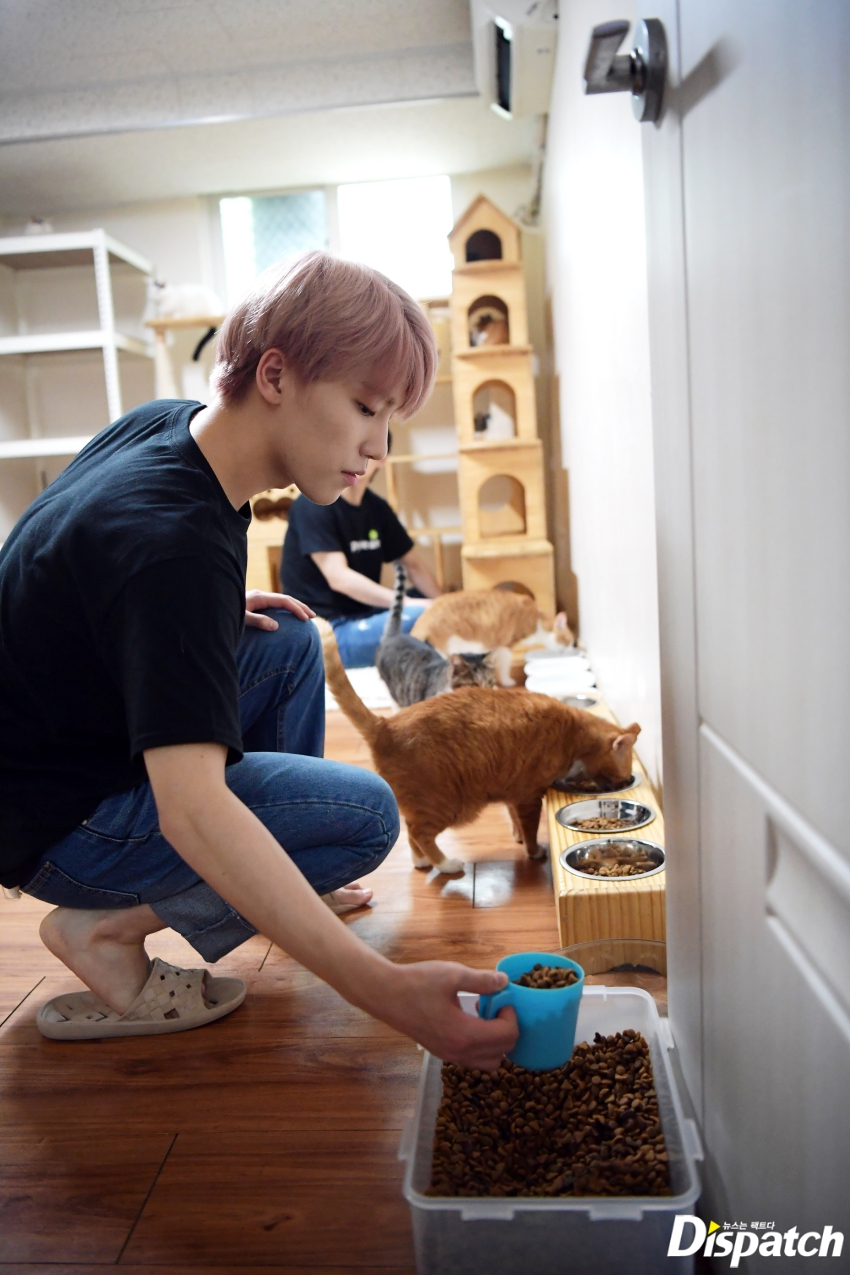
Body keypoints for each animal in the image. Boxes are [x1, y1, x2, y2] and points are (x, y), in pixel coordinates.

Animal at [318, 619, 640, 874]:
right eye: (623, 772)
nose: (624, 782)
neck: (573, 733)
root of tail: (385, 724)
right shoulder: (529, 796)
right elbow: (530, 828)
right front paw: (534, 851)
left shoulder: (513, 791)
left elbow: (515, 820)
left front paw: (517, 837)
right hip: (445, 805)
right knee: (419, 833)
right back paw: (445, 865)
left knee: (409, 833)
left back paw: (421, 862)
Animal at [411, 589, 574, 687]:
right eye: (570, 642)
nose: (572, 649)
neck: (537, 620)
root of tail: (424, 617)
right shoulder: (506, 646)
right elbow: (505, 666)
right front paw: (507, 681)